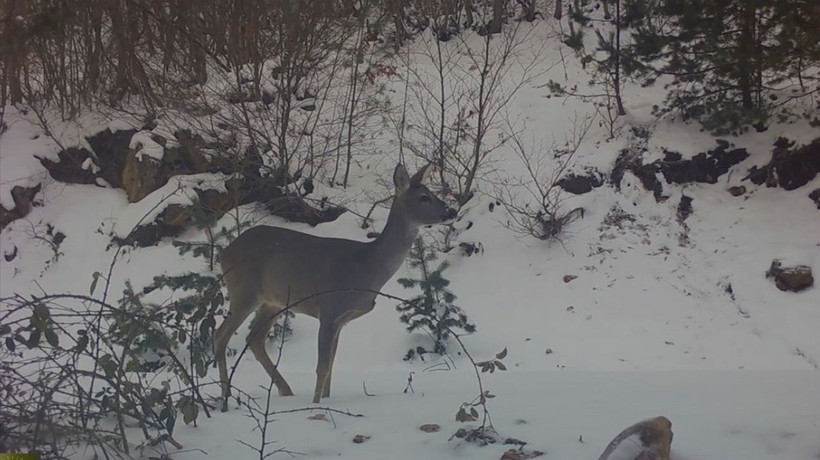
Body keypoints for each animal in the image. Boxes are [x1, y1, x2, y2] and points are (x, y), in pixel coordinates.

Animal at [215, 164, 454, 410]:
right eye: (424, 197)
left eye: (433, 193)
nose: (451, 212)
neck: (367, 267)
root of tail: (224, 253)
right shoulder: (329, 308)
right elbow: (322, 367)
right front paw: (315, 405)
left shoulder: (342, 319)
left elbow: (330, 366)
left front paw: (328, 400)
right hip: (244, 290)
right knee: (220, 336)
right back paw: (226, 396)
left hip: (273, 301)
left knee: (254, 339)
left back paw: (285, 391)